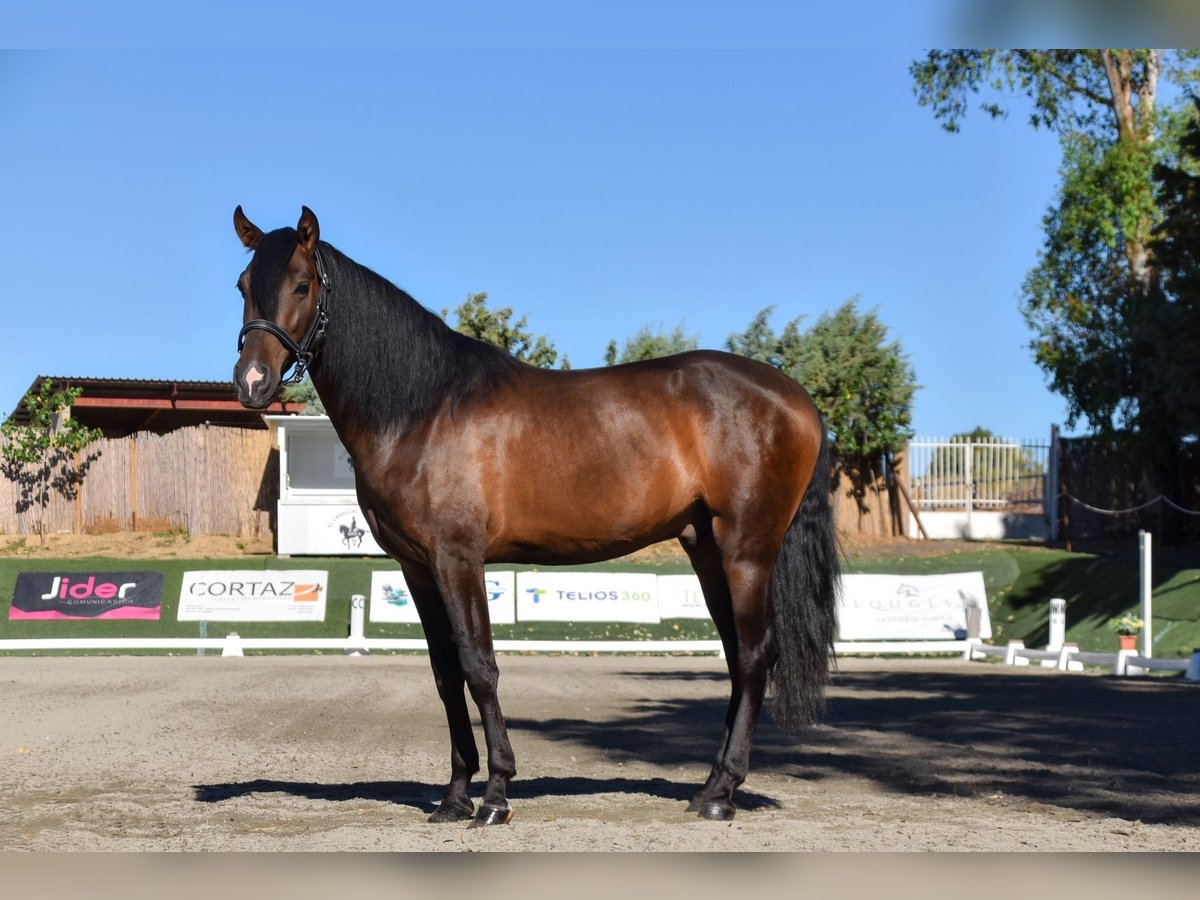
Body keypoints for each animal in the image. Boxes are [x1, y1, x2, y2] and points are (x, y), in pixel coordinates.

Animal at [231, 207, 835, 830]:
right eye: (244, 286)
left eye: (302, 285)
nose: (252, 382)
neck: (423, 409)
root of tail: (796, 398)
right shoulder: (417, 569)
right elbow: (445, 675)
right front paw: (454, 797)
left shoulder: (458, 559)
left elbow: (479, 667)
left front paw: (495, 795)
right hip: (707, 550)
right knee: (738, 657)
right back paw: (711, 784)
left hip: (748, 552)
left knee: (756, 657)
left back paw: (722, 794)